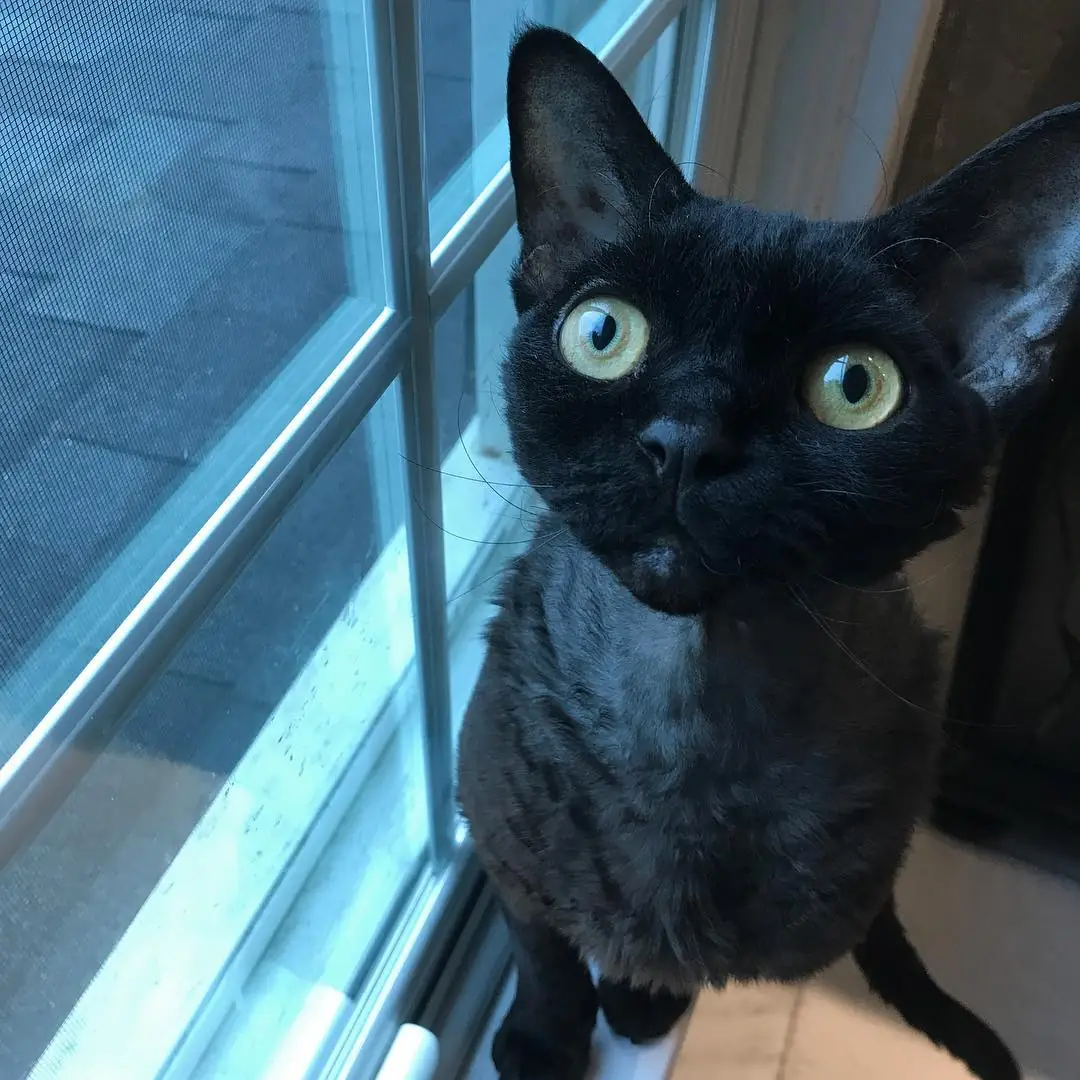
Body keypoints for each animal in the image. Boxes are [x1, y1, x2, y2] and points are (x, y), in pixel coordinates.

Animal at [458, 23, 1080, 1080]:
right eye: (603, 333)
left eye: (854, 385)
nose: (685, 440)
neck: (686, 709)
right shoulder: (500, 839)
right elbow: (542, 953)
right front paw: (543, 1043)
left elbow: (652, 963)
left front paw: (638, 1004)